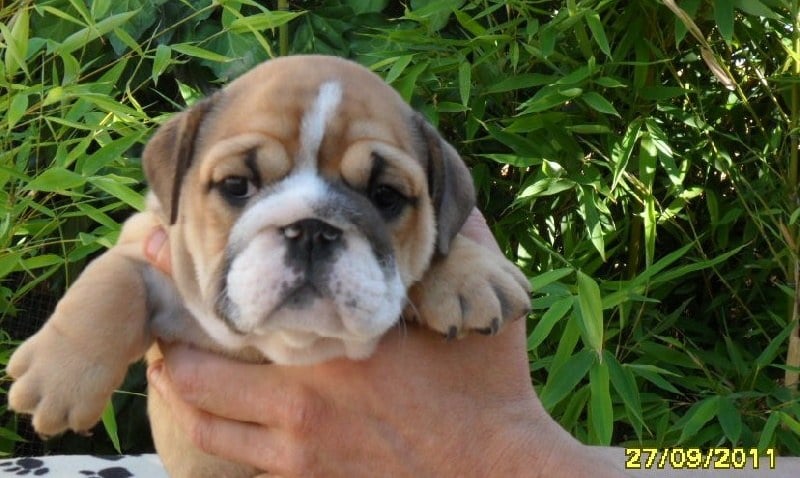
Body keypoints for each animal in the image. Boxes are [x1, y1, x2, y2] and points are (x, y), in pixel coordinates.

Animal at [7, 55, 531, 477]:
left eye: (386, 196)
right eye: (237, 185)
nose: (312, 230)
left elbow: (443, 238)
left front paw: (471, 275)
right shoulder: (150, 245)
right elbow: (113, 280)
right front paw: (58, 378)